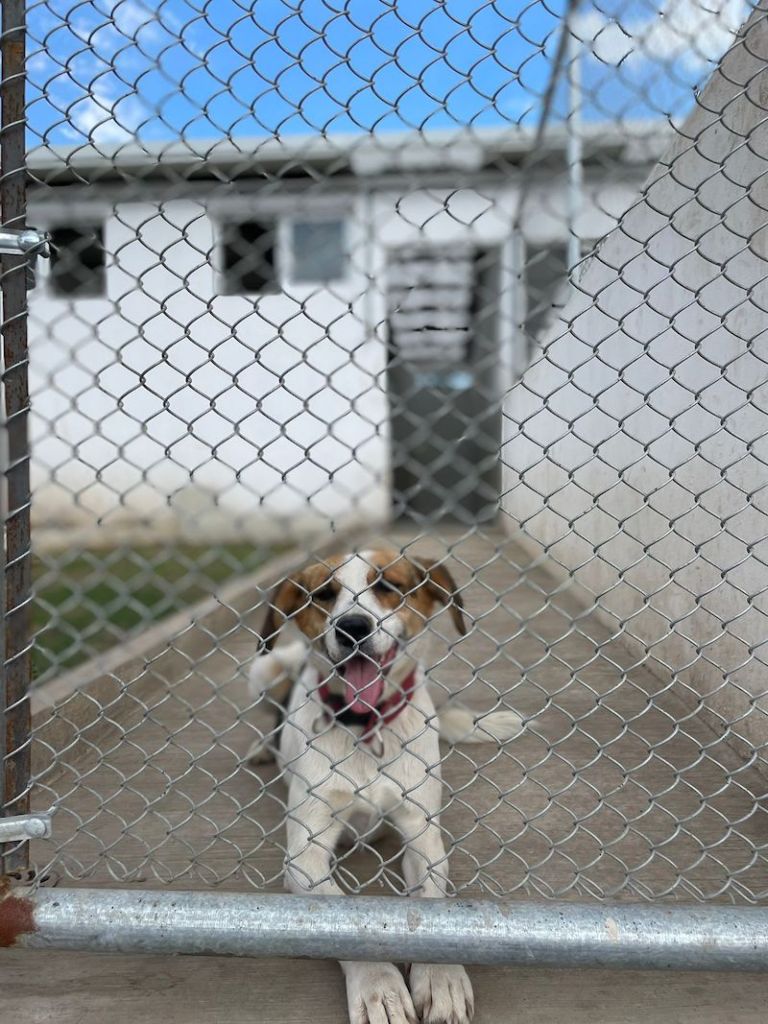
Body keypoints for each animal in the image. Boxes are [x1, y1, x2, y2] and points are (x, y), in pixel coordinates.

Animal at [246, 548, 524, 1024]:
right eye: (324, 594)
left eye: (388, 586)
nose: (352, 627)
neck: (366, 726)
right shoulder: (305, 854)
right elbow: (344, 917)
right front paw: (379, 986)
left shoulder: (422, 833)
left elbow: (431, 905)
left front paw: (441, 978)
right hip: (267, 665)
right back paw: (261, 748)